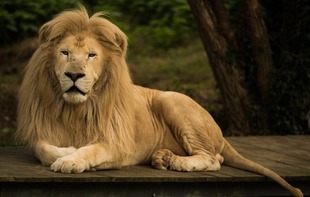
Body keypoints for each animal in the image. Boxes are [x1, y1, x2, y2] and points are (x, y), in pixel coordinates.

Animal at [14, 5, 302, 196]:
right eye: (65, 53)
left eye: (92, 55)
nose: (74, 75)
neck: (76, 109)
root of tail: (221, 134)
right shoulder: (41, 131)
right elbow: (44, 148)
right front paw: (65, 152)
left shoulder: (118, 145)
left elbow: (91, 149)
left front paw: (71, 159)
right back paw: (162, 158)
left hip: (170, 99)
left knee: (214, 159)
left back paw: (174, 162)